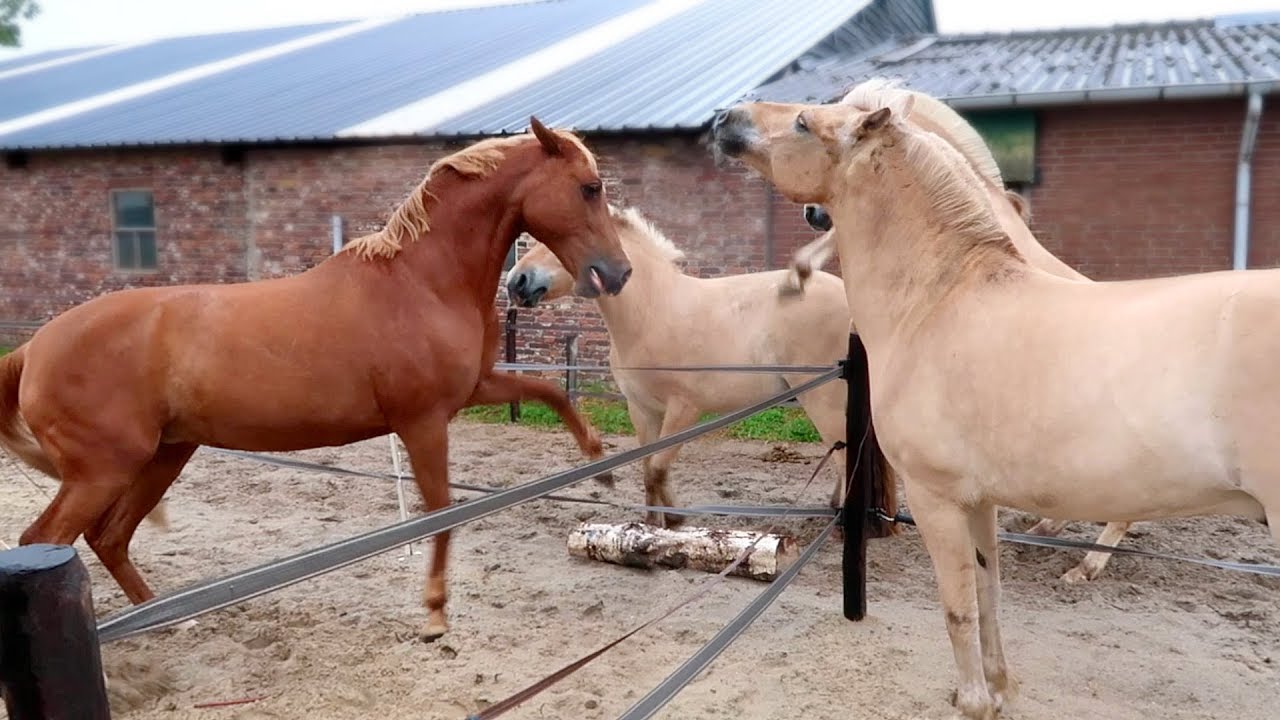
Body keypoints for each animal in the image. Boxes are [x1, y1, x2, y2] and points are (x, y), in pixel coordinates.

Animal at [0, 117, 632, 640]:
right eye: (589, 188)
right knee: (45, 540)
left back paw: (168, 622)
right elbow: (442, 514)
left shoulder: (474, 390)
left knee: (109, 538)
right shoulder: (423, 421)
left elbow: (549, 391)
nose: (617, 272)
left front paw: (600, 465)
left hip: (162, 455)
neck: (421, 281)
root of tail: (32, 348)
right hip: (103, 471)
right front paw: (433, 615)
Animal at [504, 204, 887, 527]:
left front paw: (673, 520)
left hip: (823, 401)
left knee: (844, 456)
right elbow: (647, 469)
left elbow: (658, 467)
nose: (516, 281)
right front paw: (652, 523)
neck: (651, 310)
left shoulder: (684, 410)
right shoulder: (642, 410)